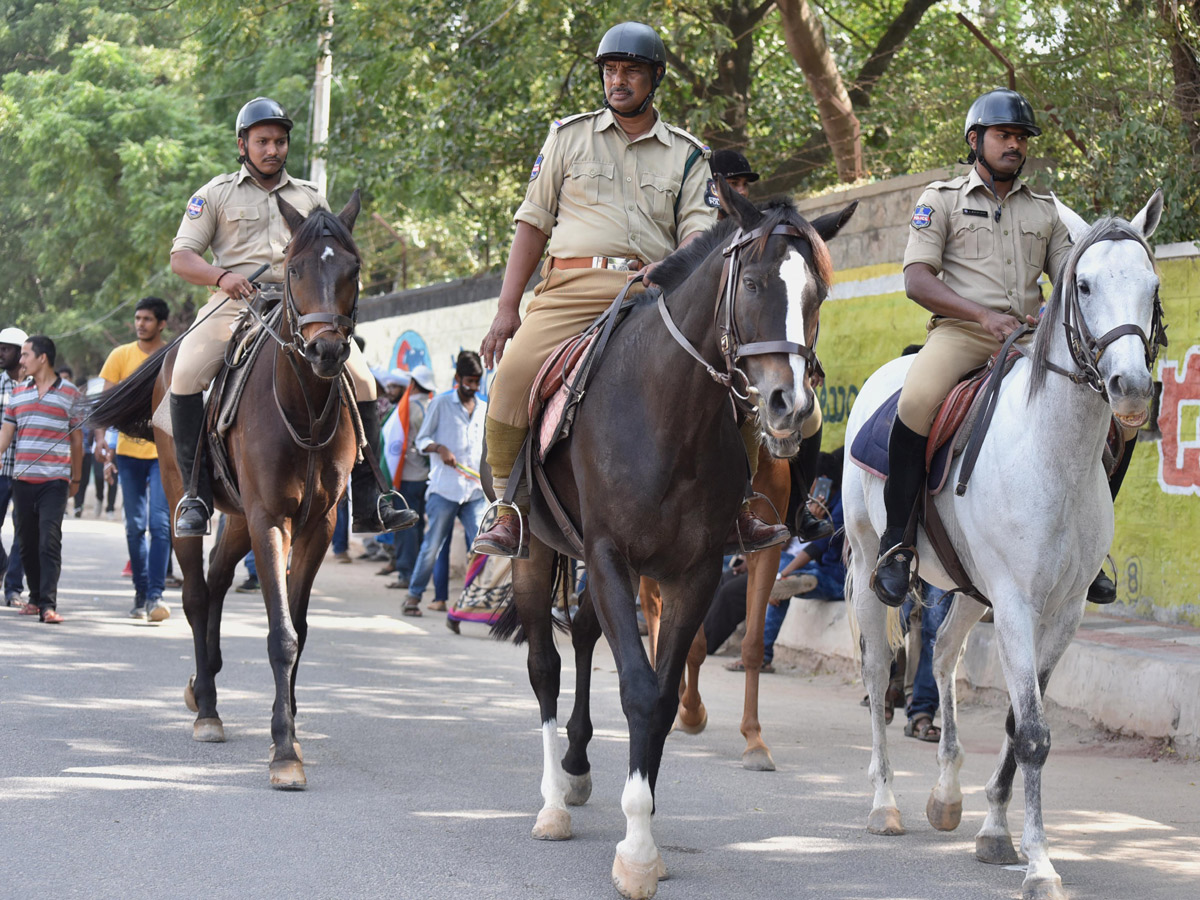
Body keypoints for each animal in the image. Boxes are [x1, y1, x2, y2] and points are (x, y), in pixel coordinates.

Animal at [91, 192, 362, 787]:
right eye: (294, 268)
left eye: (352, 269)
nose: (327, 352)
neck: (303, 405)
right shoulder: (270, 519)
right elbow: (281, 635)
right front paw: (284, 751)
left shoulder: (317, 524)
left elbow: (298, 628)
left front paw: (291, 727)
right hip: (185, 498)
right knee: (196, 593)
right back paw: (208, 710)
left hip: (238, 517)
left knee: (216, 582)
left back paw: (204, 685)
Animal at [844, 192, 1161, 900]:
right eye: (1084, 284)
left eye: (1153, 286)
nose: (1130, 388)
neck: (1053, 453)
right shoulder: (1017, 604)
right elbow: (1036, 731)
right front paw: (1039, 864)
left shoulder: (1062, 611)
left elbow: (1020, 723)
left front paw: (994, 831)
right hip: (867, 561)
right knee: (880, 674)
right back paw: (883, 805)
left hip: (968, 588)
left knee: (941, 660)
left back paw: (945, 795)